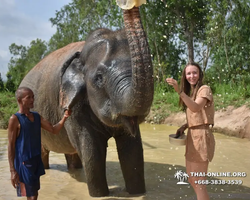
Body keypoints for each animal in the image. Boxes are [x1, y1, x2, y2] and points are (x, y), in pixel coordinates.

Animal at [19, 6, 153, 197]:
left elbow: (132, 150)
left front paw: (137, 194)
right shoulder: (73, 106)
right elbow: (92, 151)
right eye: (99, 78)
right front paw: (100, 196)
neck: (81, 54)